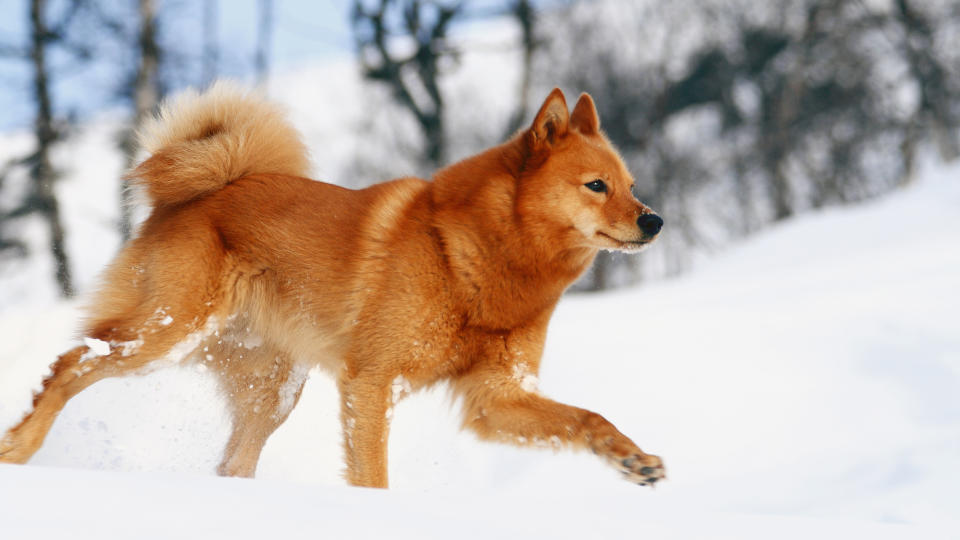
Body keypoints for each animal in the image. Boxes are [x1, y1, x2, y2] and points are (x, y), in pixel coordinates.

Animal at [0, 84, 664, 490]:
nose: (655, 220)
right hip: (167, 332)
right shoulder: (373, 384)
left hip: (273, 388)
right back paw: (19, 450)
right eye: (596, 185)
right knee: (71, 362)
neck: (483, 256)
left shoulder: (495, 397)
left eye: (632, 185)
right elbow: (373, 476)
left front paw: (633, 458)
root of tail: (199, 192)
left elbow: (586, 418)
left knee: (232, 462)